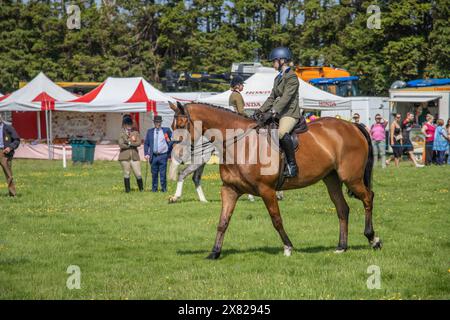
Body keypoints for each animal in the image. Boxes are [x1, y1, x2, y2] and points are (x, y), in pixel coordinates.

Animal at [169, 102, 380, 260]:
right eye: (172, 127)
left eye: (183, 125)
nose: (177, 155)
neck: (240, 143)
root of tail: (353, 126)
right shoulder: (229, 189)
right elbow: (223, 221)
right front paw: (214, 252)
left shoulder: (266, 190)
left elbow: (276, 219)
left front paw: (288, 247)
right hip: (332, 179)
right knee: (342, 209)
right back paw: (341, 247)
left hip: (351, 178)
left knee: (368, 198)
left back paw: (373, 239)